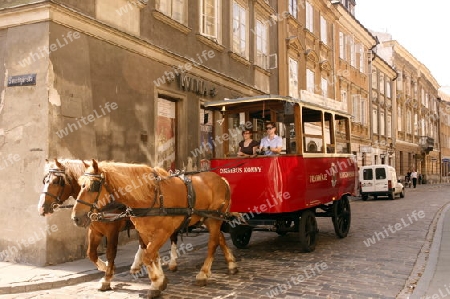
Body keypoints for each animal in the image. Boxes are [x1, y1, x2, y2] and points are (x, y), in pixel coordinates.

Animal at [38, 161, 151, 292]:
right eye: (45, 181)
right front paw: (106, 267)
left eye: (56, 181)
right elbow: (91, 253)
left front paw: (106, 279)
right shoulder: (94, 231)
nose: (41, 208)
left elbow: (110, 253)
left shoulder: (112, 231)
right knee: (143, 243)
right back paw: (137, 266)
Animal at [72, 161, 237, 298]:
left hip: (214, 218)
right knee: (220, 238)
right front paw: (159, 281)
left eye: (93, 186)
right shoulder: (145, 232)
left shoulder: (162, 231)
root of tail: (221, 179)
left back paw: (203, 274)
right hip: (208, 219)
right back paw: (231, 265)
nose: (76, 217)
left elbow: (145, 256)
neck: (150, 196)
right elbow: (152, 255)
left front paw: (155, 282)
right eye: (80, 185)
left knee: (212, 244)